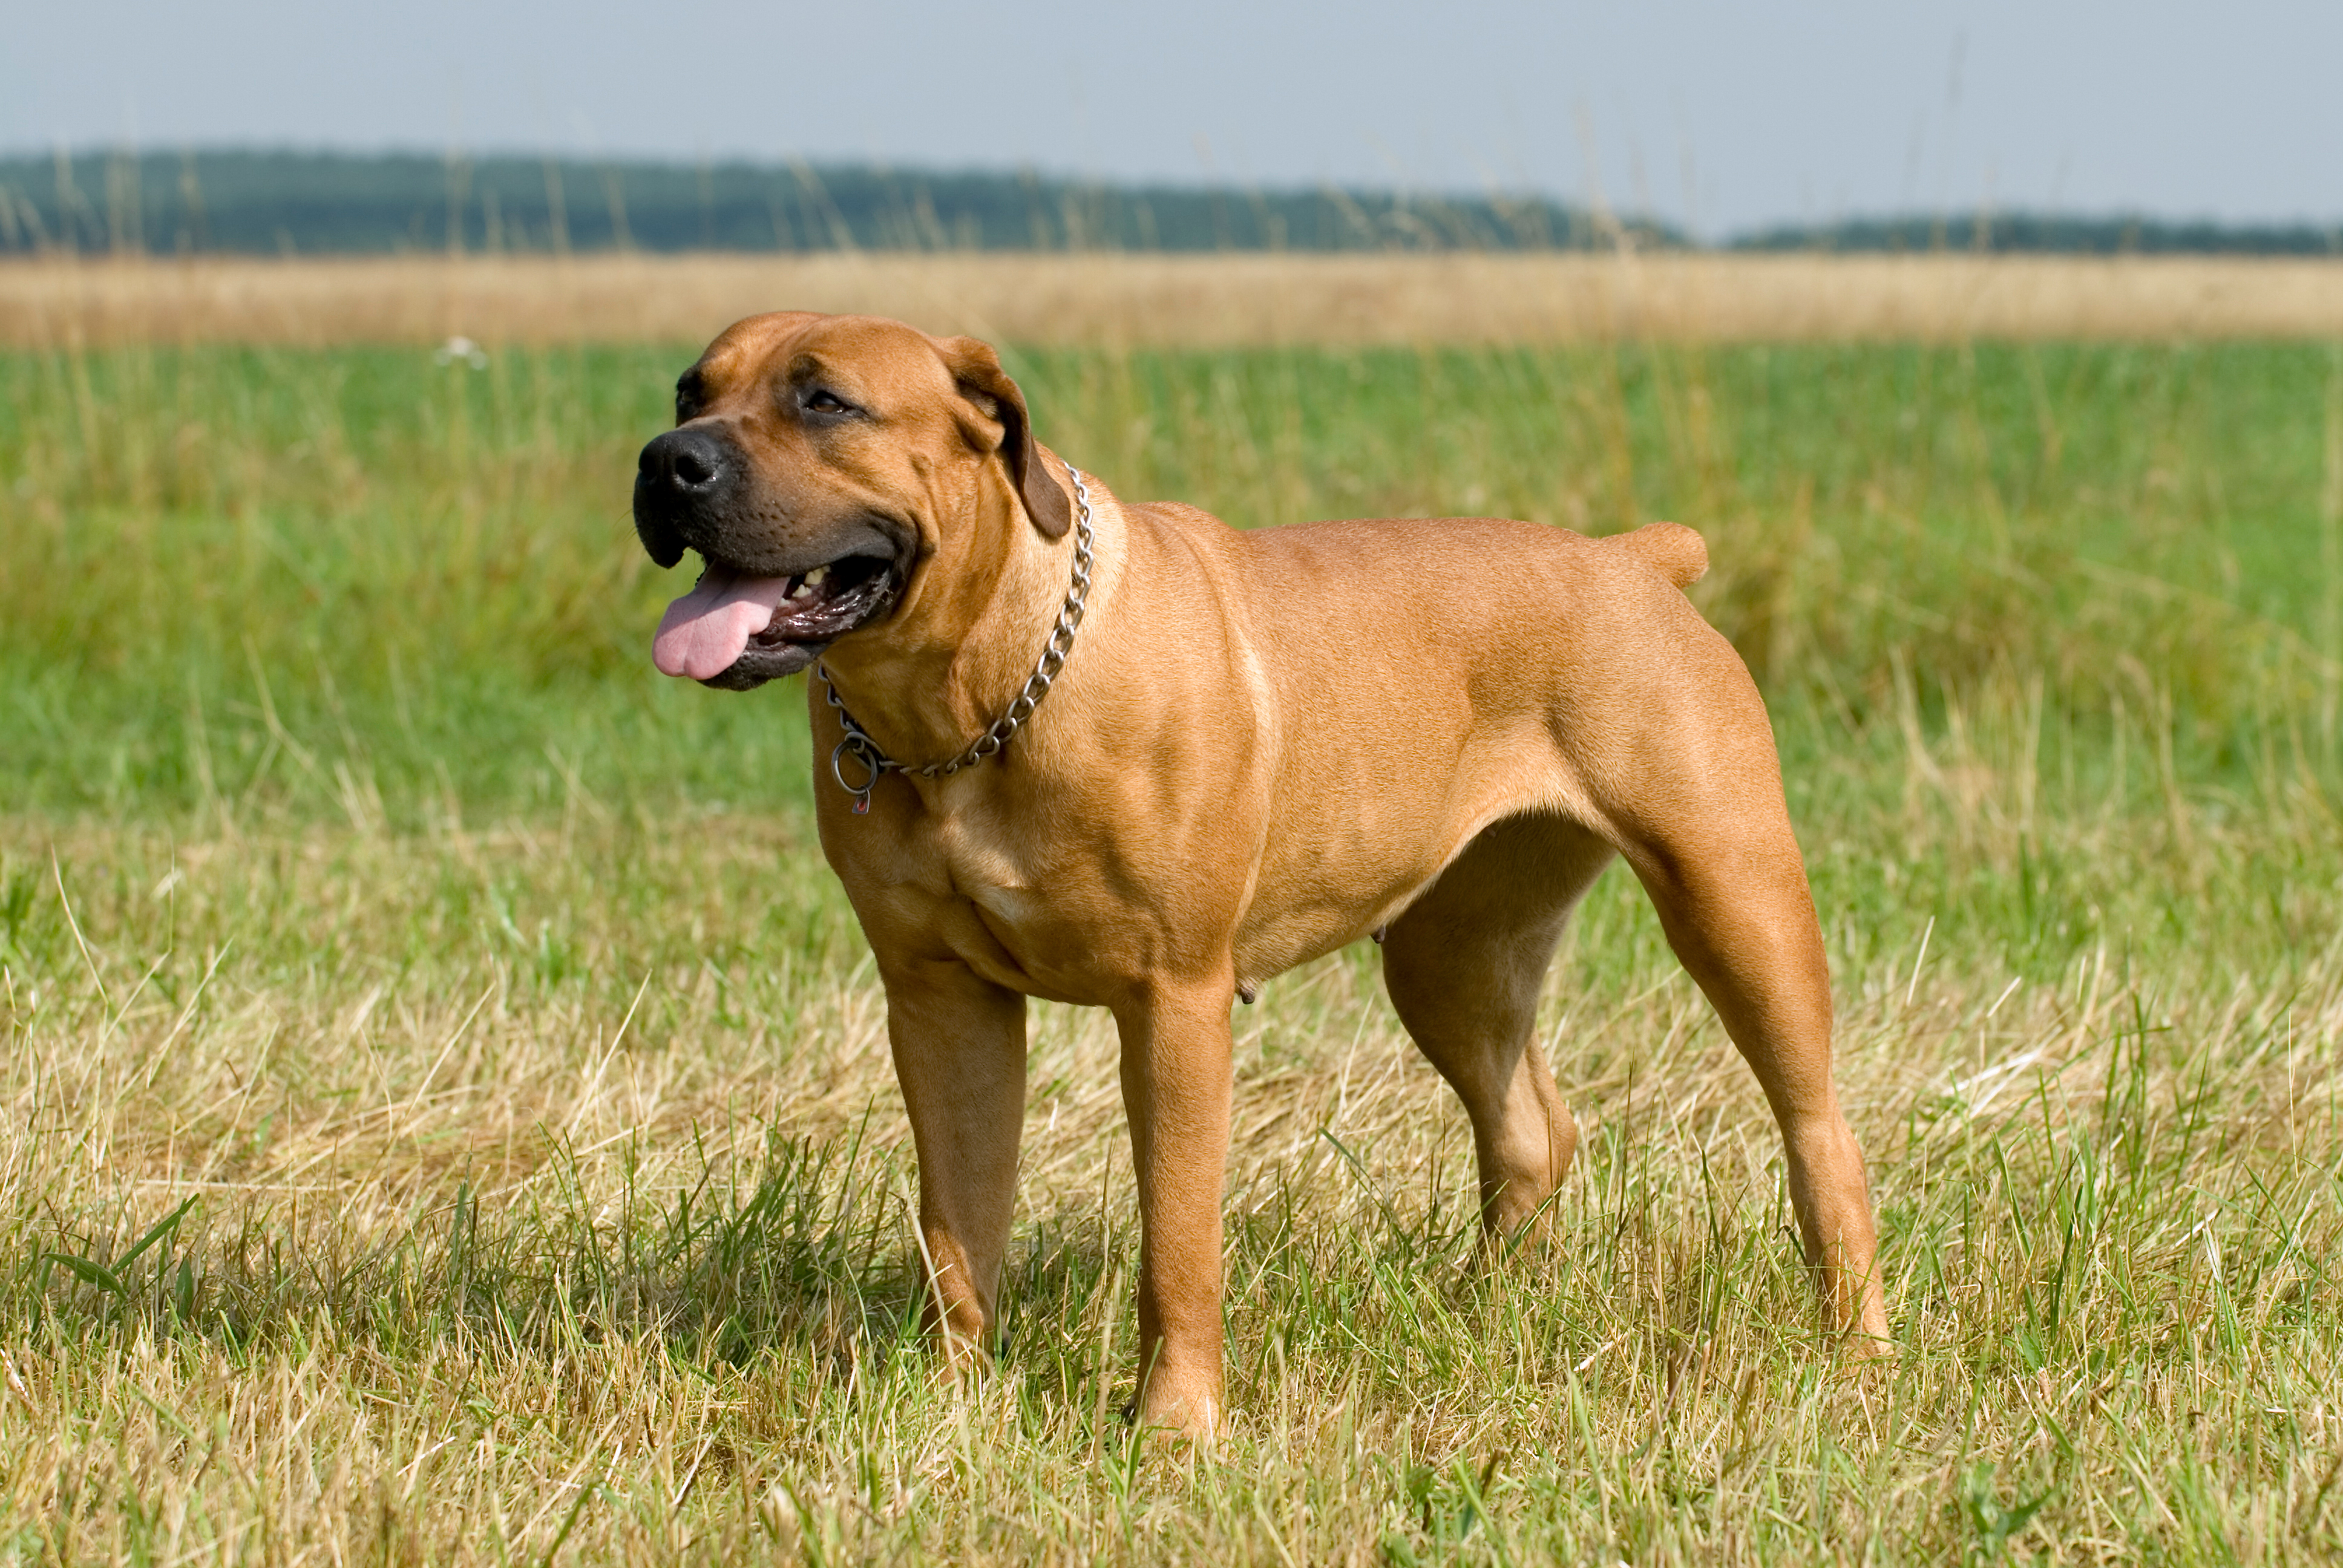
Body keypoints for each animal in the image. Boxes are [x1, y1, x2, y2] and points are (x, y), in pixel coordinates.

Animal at [632, 304, 1893, 1434]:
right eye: (690, 390)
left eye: (826, 401)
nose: (665, 460)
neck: (970, 701)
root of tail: (1634, 561)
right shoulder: (941, 1002)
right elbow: (959, 1224)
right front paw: (947, 1399)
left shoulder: (1173, 1001)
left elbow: (1177, 1241)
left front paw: (1175, 1424)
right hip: (1454, 955)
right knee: (1529, 1126)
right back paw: (1482, 1312)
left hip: (1732, 897)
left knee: (1818, 1132)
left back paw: (1858, 1349)